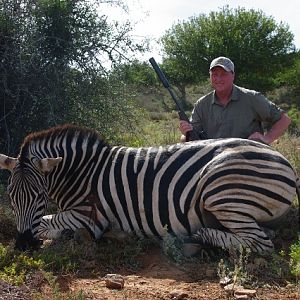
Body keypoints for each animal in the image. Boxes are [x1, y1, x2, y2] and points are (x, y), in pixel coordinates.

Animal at [0, 124, 298, 253]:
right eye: (10, 197)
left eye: (40, 196)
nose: (23, 245)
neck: (83, 171)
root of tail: (283, 159)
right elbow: (47, 224)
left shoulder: (90, 216)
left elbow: (45, 222)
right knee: (261, 234)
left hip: (221, 191)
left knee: (259, 243)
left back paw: (197, 236)